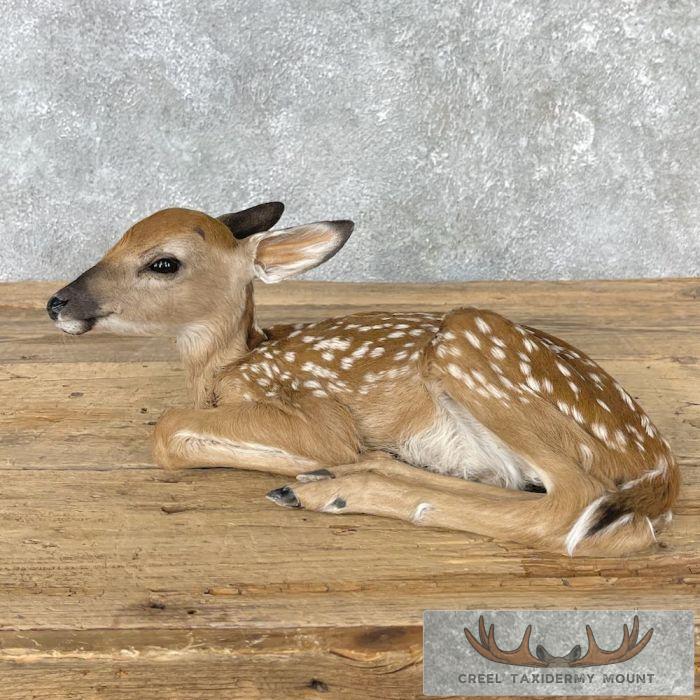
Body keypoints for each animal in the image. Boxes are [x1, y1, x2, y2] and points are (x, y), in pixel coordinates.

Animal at [46, 201, 679, 557]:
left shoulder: (309, 406)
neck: (230, 365)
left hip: (469, 346)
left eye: (163, 263)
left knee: (581, 510)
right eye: (116, 240)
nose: (57, 302)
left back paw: (324, 488)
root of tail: (660, 472)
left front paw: (312, 463)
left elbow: (168, 431)